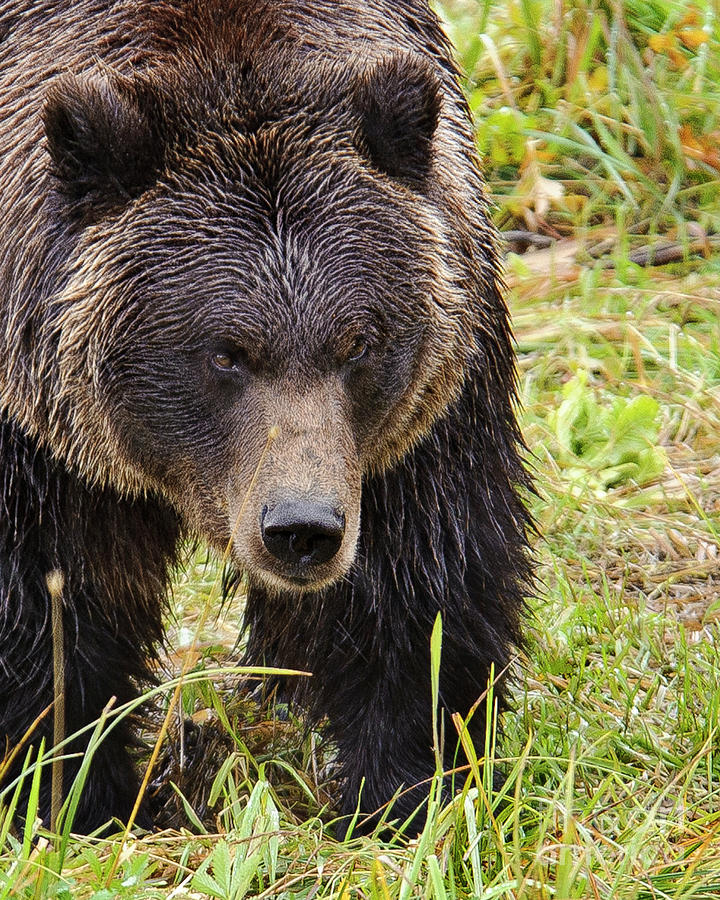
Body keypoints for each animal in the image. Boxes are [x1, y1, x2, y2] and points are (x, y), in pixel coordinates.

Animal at [0, 0, 528, 836]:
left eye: (358, 340)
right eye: (225, 352)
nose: (301, 528)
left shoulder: (421, 415)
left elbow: (424, 580)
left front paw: (403, 789)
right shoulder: (40, 441)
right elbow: (48, 605)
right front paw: (73, 796)